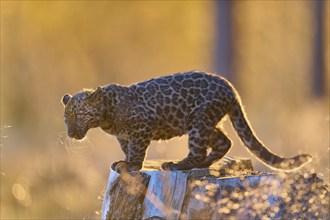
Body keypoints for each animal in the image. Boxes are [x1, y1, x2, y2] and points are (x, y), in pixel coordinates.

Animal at [61, 71, 312, 173]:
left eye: (80, 115)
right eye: (66, 119)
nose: (71, 133)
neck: (106, 117)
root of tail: (231, 89)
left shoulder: (143, 126)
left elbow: (137, 150)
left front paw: (132, 165)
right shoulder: (124, 136)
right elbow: (127, 148)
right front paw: (123, 162)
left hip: (198, 121)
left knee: (199, 151)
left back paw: (177, 165)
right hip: (205, 121)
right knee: (224, 142)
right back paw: (205, 164)